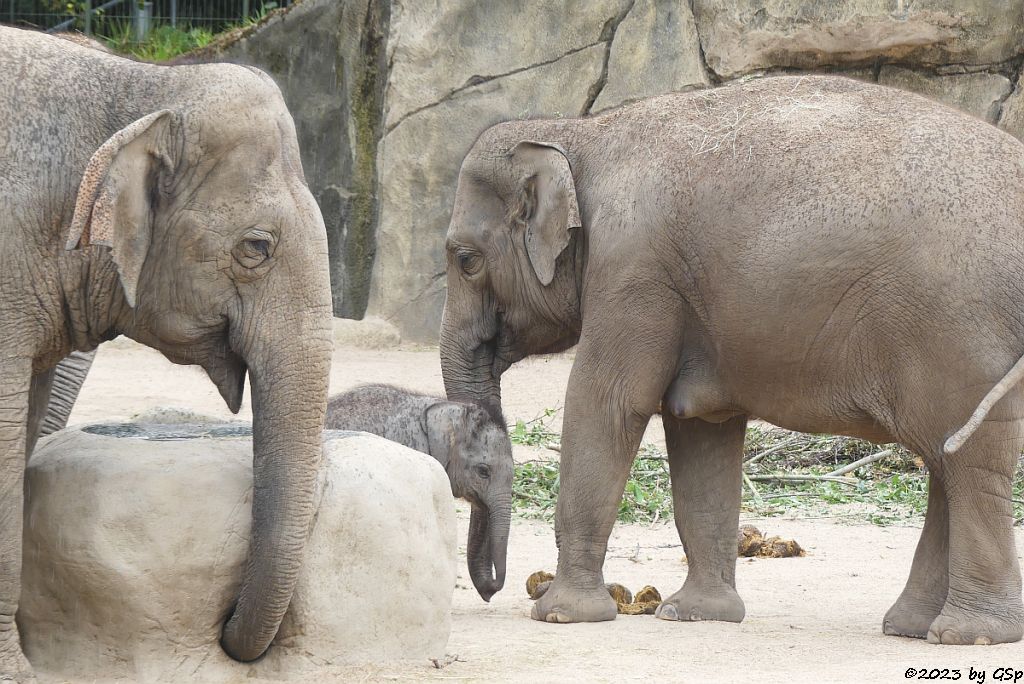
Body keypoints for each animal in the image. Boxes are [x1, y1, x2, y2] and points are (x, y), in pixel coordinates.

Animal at [444, 74, 1024, 647]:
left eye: (466, 260)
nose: (492, 590)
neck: (579, 132)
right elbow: (701, 426)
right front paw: (695, 615)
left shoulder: (634, 270)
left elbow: (606, 402)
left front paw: (562, 616)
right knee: (946, 462)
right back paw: (913, 628)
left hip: (963, 335)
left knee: (970, 463)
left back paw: (968, 635)